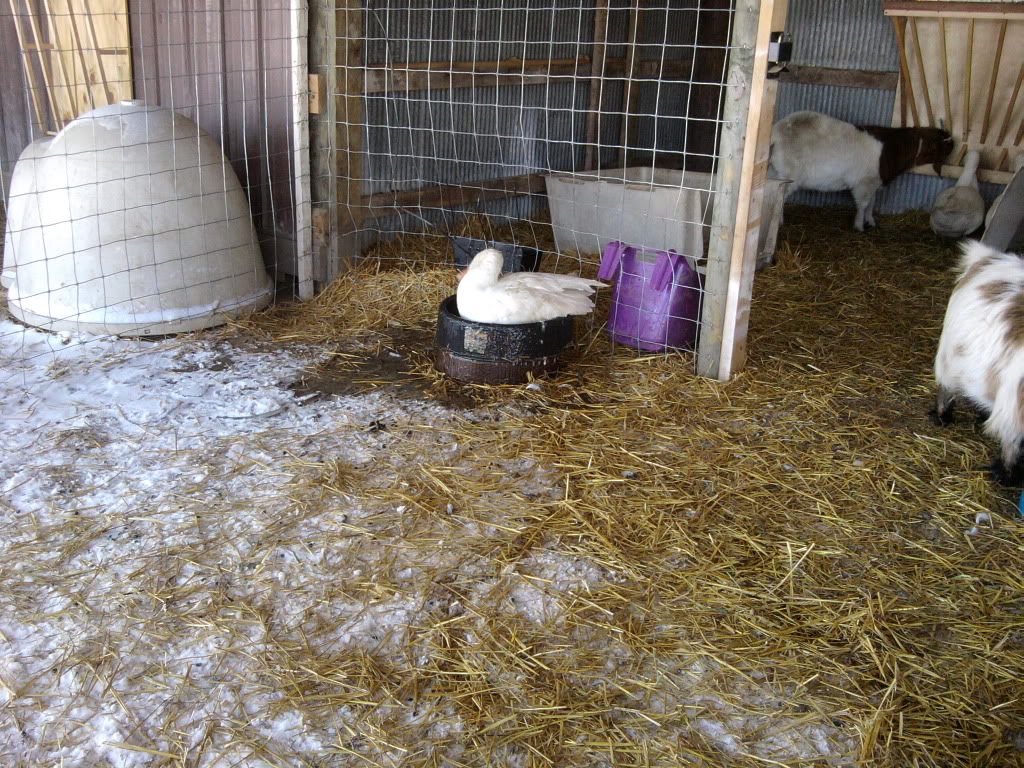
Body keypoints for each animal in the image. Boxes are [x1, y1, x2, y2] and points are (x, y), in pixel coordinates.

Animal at [770, 111, 954, 232]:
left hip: (774, 171)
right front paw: (859, 226)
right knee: (780, 196)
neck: (890, 149)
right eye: (944, 147)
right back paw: (779, 222)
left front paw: (870, 221)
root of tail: (775, 133)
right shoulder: (865, 182)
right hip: (789, 175)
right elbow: (863, 204)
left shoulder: (874, 182)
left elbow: (872, 203)